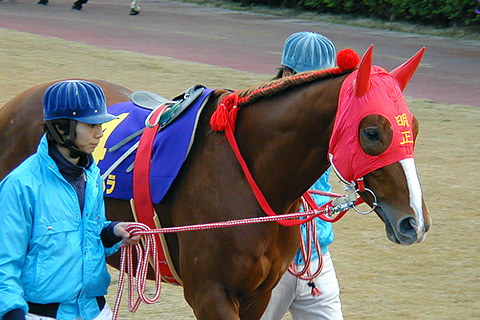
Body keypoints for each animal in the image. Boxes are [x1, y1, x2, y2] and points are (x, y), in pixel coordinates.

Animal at [0, 46, 430, 318]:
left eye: (413, 126)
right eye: (372, 132)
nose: (415, 222)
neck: (251, 180)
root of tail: (17, 104)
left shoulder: (259, 296)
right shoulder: (211, 295)